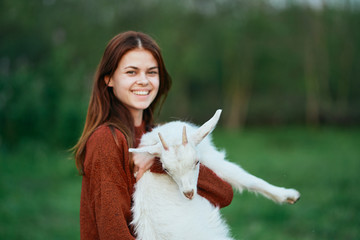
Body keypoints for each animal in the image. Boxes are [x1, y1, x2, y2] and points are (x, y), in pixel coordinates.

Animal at [129, 109, 298, 239]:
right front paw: (289, 195)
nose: (188, 193)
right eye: (166, 169)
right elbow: (243, 178)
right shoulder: (212, 159)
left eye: (196, 162)